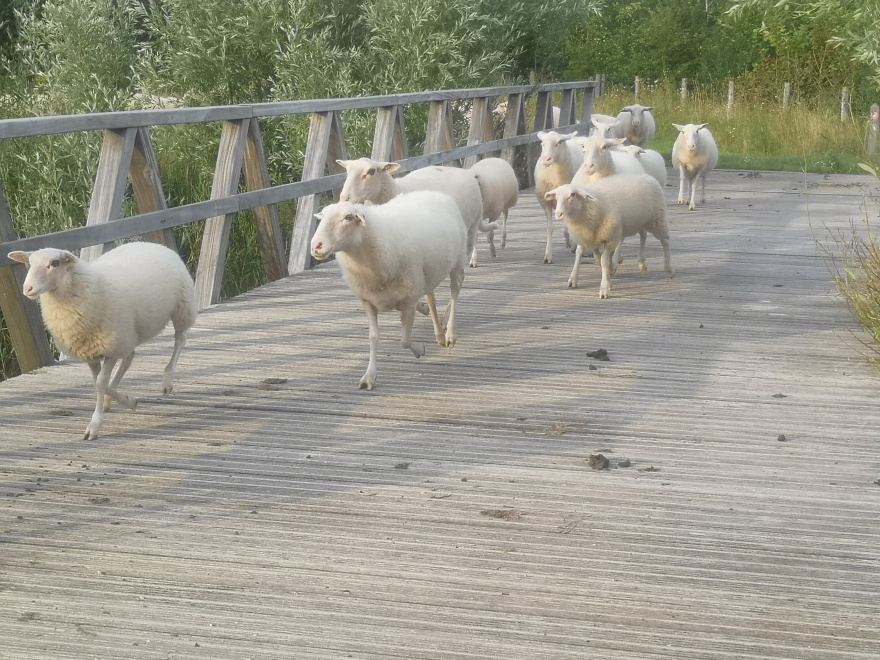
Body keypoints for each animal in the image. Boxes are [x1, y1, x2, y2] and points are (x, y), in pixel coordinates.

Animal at [7, 241, 196, 438]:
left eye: (55, 263)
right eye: (29, 263)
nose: (27, 288)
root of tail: (151, 243)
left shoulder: (111, 348)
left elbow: (100, 383)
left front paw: (94, 425)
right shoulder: (91, 351)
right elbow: (100, 382)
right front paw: (128, 400)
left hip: (182, 307)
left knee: (180, 339)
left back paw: (167, 380)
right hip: (128, 333)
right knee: (129, 358)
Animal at [312, 191, 470, 390]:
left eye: (348, 217)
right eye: (322, 218)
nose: (316, 246)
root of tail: (432, 192)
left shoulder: (408, 299)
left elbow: (405, 341)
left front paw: (419, 350)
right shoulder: (368, 300)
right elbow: (373, 337)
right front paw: (369, 376)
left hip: (457, 261)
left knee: (455, 292)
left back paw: (449, 334)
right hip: (426, 274)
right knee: (431, 297)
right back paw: (439, 334)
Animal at [336, 157, 492, 268]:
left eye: (371, 171)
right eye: (347, 172)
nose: (344, 198)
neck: (397, 189)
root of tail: (467, 172)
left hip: (474, 220)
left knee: (473, 238)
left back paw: (472, 260)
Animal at [528, 130, 584, 264]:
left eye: (560, 142)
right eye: (542, 143)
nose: (546, 159)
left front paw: (571, 244)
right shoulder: (545, 203)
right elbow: (549, 228)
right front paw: (548, 255)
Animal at [544, 175, 672, 300]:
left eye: (573, 195)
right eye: (556, 196)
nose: (558, 214)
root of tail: (648, 176)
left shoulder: (610, 238)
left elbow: (604, 260)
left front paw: (604, 287)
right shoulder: (589, 238)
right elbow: (593, 257)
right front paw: (608, 274)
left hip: (657, 219)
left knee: (665, 241)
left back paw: (669, 269)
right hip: (639, 221)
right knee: (643, 235)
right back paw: (641, 263)